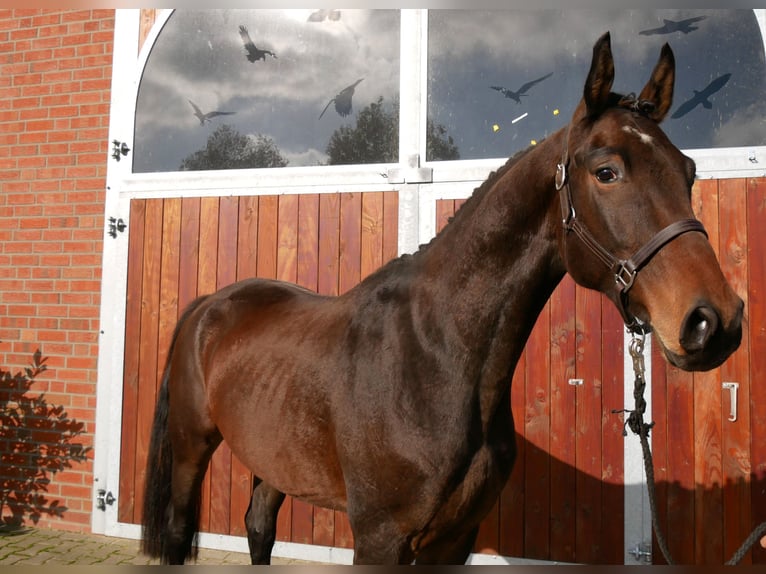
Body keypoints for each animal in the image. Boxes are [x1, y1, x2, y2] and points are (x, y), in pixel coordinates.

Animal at [138, 33, 744, 568]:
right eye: (607, 172)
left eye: (689, 172)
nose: (714, 321)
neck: (435, 358)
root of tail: (210, 305)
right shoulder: (380, 539)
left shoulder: (454, 539)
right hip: (191, 448)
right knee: (179, 530)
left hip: (273, 458)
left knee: (259, 528)